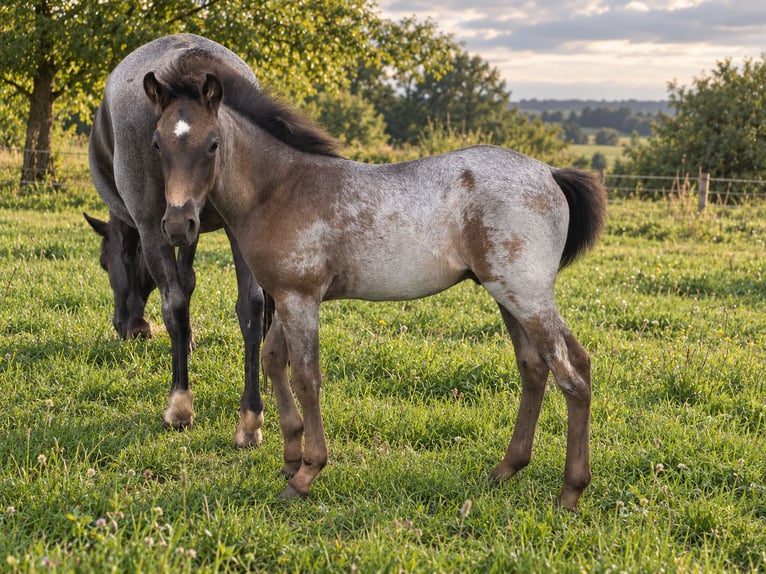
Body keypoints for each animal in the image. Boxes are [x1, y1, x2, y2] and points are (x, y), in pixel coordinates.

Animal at [88, 34, 271, 448]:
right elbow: (189, 284)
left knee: (178, 304)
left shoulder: (157, 226)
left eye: (105, 264)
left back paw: (183, 406)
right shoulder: (187, 226)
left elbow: (175, 299)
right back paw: (251, 417)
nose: (123, 326)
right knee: (252, 307)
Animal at [142, 49, 607, 510]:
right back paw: (505, 470)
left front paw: (307, 473)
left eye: (212, 144)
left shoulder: (299, 298)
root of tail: (550, 173)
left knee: (572, 374)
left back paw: (570, 491)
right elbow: (274, 360)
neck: (279, 189)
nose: (179, 226)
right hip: (507, 296)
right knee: (538, 368)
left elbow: (306, 377)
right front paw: (290, 458)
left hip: (526, 296)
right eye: (157, 144)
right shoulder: (284, 295)